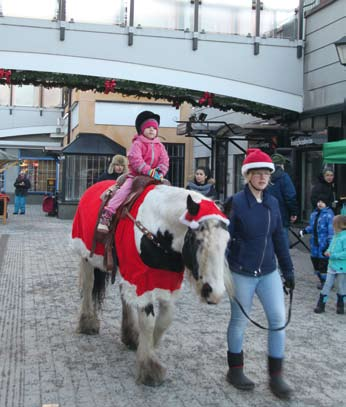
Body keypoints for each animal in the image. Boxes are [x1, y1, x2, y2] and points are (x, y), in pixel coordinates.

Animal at [71, 180, 231, 388]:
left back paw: (130, 335)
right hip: (86, 255)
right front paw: (149, 367)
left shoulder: (167, 281)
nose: (214, 292)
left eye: (227, 241)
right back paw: (87, 323)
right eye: (198, 240)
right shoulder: (141, 279)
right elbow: (148, 321)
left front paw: (147, 349)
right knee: (89, 285)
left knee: (124, 293)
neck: (157, 231)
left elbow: (164, 320)